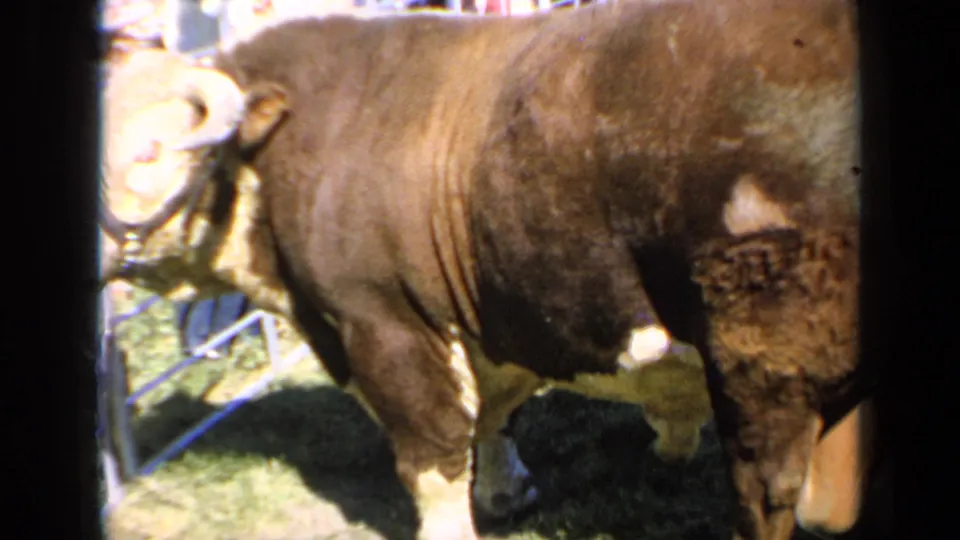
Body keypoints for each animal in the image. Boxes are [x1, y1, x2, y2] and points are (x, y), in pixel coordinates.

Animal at [98, 1, 871, 539]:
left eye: (150, 151)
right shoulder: (492, 317)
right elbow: (496, 413)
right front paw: (506, 494)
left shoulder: (383, 324)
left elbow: (433, 457)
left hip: (766, 367)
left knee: (766, 492)